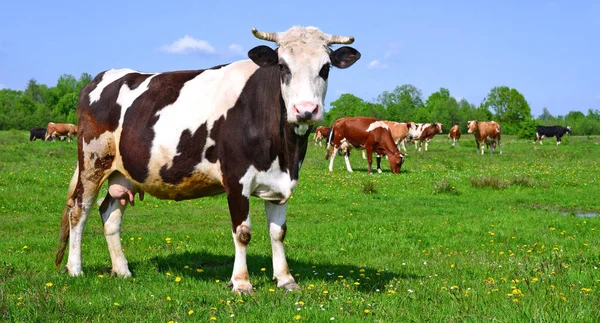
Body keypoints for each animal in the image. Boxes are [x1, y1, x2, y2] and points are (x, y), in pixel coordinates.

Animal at [55, 26, 360, 294]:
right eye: (283, 66)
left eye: (326, 68)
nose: (305, 110)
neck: (284, 150)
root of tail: (104, 77)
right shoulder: (236, 180)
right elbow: (243, 232)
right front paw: (241, 284)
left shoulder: (278, 184)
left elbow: (278, 232)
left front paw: (286, 280)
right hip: (93, 162)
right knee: (79, 210)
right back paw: (75, 269)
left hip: (124, 172)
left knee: (110, 214)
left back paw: (122, 270)